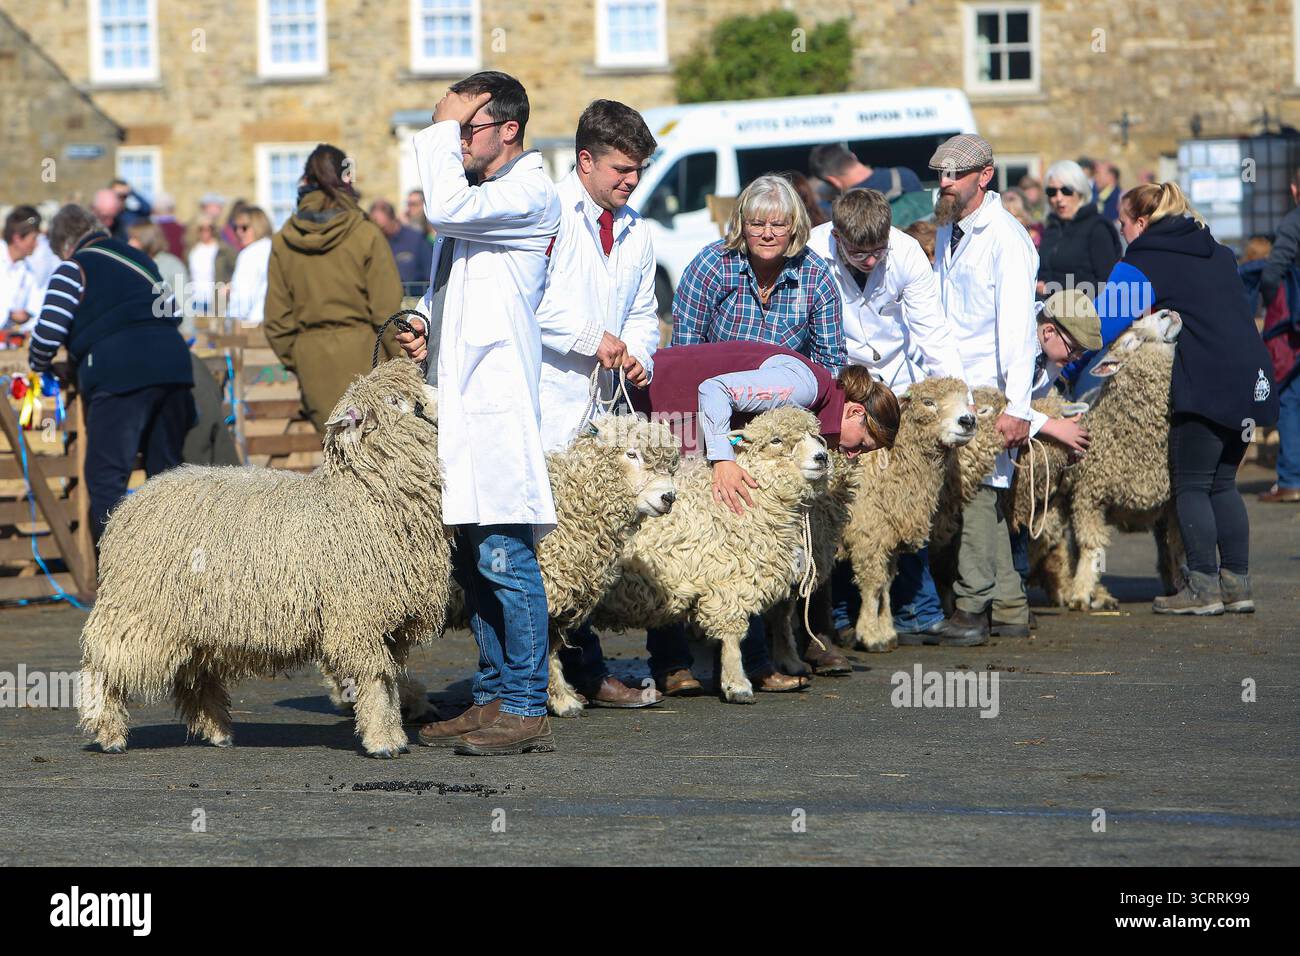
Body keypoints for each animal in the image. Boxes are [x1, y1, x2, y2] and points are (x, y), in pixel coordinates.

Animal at [78, 359, 451, 759]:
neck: (363, 497)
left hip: (196, 620)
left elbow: (389, 682)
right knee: (104, 661)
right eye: (395, 400)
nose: (438, 400)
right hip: (140, 608)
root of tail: (126, 507)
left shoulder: (388, 624)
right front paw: (382, 741)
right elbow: (376, 681)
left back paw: (217, 731)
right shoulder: (357, 619)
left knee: (195, 676)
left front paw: (392, 733)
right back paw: (108, 732)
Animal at [590, 406, 832, 704]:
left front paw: (726, 679)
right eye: (776, 440)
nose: (822, 457)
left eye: (815, 436)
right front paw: (737, 685)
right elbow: (732, 635)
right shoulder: (727, 579)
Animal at [839, 376, 976, 653]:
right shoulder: (868, 534)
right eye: (928, 402)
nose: (968, 421)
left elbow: (886, 586)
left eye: (966, 400)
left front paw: (886, 631)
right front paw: (870, 635)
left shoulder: (888, 537)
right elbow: (873, 586)